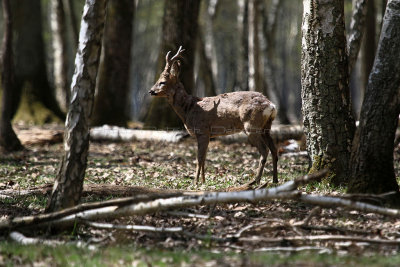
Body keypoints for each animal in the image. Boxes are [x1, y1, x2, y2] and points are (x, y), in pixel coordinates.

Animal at [148, 47, 276, 185]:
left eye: (162, 82)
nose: (150, 91)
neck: (188, 108)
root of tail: (271, 105)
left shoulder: (202, 130)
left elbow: (199, 158)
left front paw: (195, 182)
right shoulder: (209, 134)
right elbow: (204, 158)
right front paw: (203, 181)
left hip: (251, 125)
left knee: (264, 150)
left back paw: (255, 181)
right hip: (266, 127)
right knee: (274, 150)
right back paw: (275, 180)